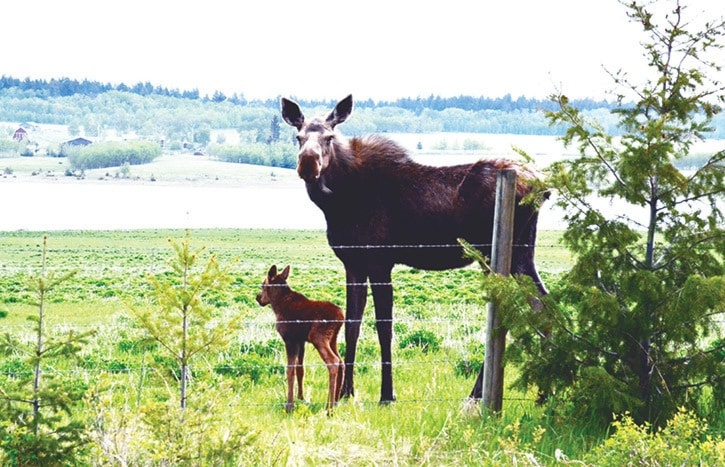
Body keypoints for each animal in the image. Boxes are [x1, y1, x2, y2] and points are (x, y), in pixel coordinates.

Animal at [255, 266, 346, 414]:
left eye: (263, 285)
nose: (258, 298)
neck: (277, 304)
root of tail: (341, 316)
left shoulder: (290, 339)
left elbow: (290, 370)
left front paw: (289, 405)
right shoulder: (300, 341)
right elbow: (300, 369)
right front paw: (300, 398)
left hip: (318, 337)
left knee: (333, 362)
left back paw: (329, 408)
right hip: (333, 339)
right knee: (342, 362)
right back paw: (336, 403)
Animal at [280, 95, 544, 406]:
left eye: (329, 137)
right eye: (298, 136)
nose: (308, 163)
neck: (337, 204)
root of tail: (543, 187)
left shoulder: (380, 261)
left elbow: (384, 327)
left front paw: (386, 394)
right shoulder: (353, 262)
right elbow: (353, 324)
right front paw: (346, 392)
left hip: (494, 252)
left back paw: (479, 393)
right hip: (522, 252)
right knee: (541, 304)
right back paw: (544, 392)